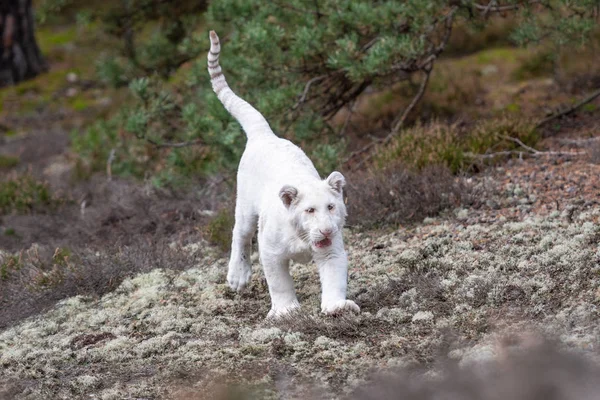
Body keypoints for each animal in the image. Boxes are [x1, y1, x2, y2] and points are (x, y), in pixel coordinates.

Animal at [207, 31, 356, 318]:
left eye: (331, 207)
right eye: (310, 210)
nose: (326, 230)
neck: (303, 237)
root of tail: (265, 134)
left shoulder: (332, 251)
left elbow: (334, 278)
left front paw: (336, 307)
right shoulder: (271, 251)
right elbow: (279, 282)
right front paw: (287, 311)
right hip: (245, 206)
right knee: (239, 234)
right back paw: (237, 277)